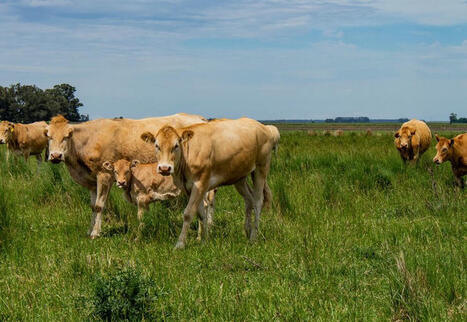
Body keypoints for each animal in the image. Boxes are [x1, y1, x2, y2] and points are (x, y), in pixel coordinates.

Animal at [45, 114, 207, 239]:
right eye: (49, 137)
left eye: (66, 137)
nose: (55, 156)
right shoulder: (91, 181)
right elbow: (92, 206)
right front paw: (90, 230)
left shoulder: (104, 175)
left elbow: (99, 206)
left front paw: (95, 233)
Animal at [139, 117, 278, 249]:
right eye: (157, 145)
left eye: (176, 145)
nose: (164, 168)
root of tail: (266, 127)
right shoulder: (189, 187)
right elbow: (201, 214)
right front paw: (204, 241)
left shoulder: (200, 184)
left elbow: (188, 213)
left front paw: (180, 244)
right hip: (239, 177)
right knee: (249, 199)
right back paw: (246, 231)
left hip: (261, 169)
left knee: (258, 201)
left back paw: (253, 237)